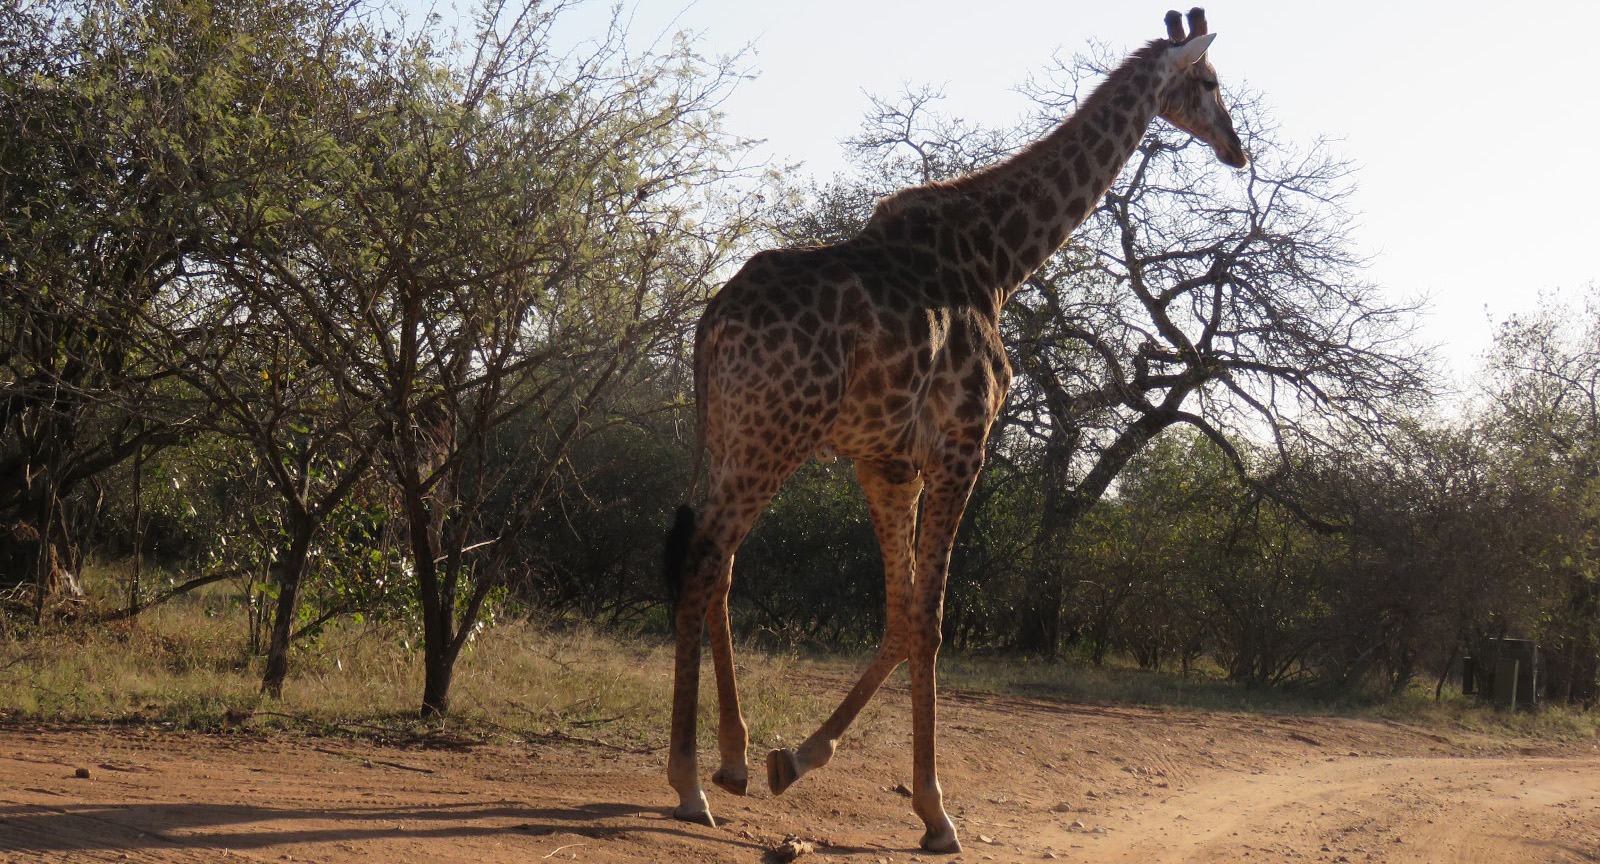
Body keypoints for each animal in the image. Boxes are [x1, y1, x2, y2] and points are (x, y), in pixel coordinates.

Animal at [663, 8, 1246, 853]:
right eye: (1210, 82)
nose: (1238, 148)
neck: (1001, 260)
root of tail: (712, 322)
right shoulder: (962, 447)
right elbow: (932, 620)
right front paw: (937, 812)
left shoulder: (887, 461)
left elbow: (901, 612)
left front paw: (795, 759)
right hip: (776, 434)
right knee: (706, 560)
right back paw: (687, 783)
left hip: (737, 436)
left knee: (722, 565)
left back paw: (733, 761)